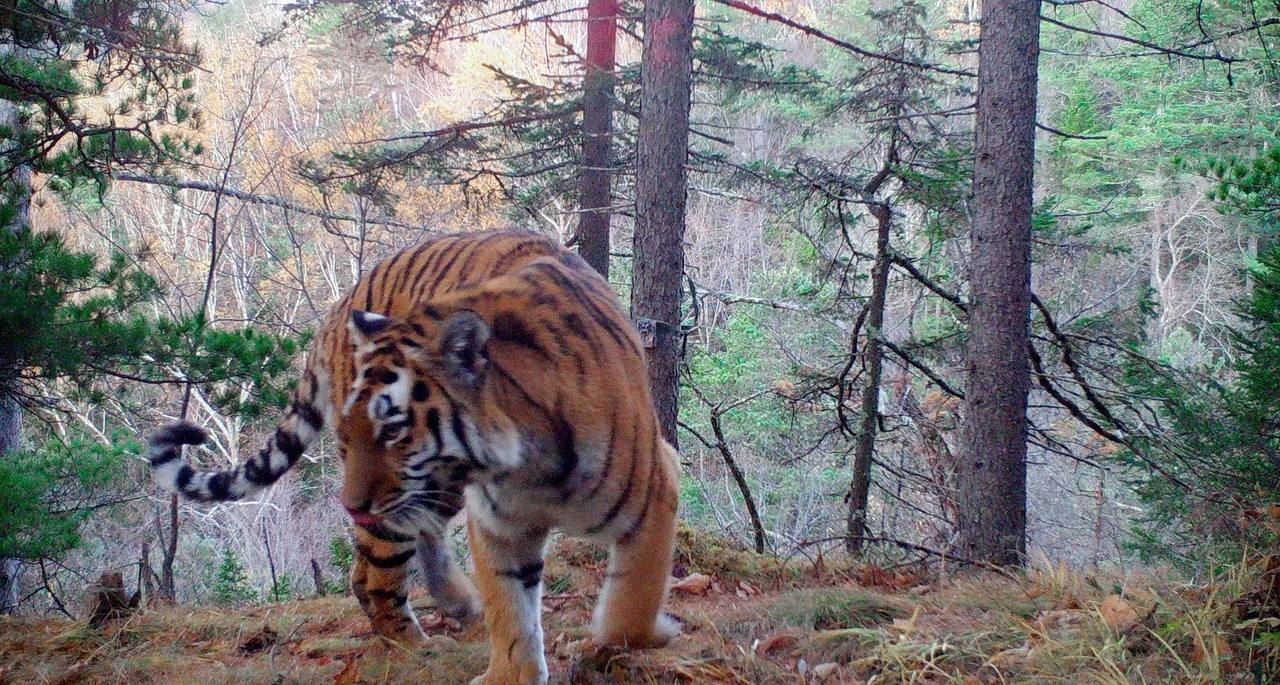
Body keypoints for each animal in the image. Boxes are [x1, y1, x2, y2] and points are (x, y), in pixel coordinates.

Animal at [146, 231, 686, 685]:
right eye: (350, 431)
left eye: (392, 431)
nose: (349, 505)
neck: (526, 463)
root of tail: (341, 304)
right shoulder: (498, 524)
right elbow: (512, 612)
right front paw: (509, 673)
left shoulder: (658, 489)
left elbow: (630, 612)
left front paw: (654, 631)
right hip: (405, 507)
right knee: (372, 577)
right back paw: (416, 643)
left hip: (425, 491)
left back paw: (457, 602)